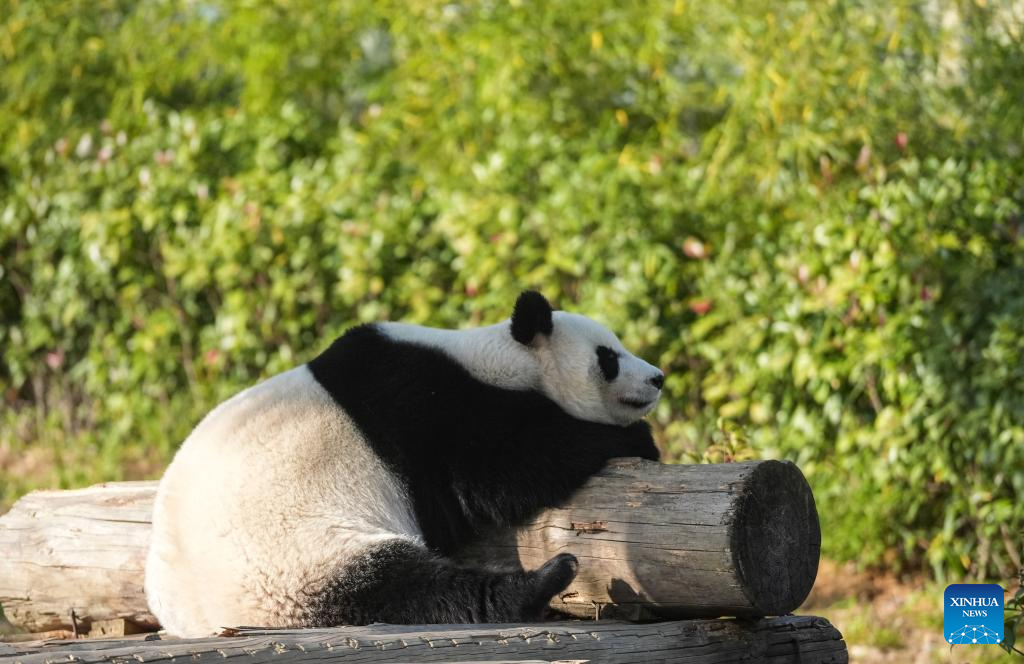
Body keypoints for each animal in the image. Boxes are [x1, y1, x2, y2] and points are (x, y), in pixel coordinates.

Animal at [148, 293, 667, 635]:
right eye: (608, 357)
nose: (657, 378)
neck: (496, 360)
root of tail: (196, 619)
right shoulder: (426, 408)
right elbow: (502, 471)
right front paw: (634, 439)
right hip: (294, 564)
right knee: (406, 588)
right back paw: (542, 582)